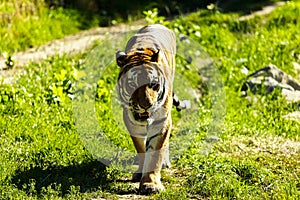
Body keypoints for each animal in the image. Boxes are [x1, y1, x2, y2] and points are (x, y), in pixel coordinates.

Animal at [116, 23, 189, 194]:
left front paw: (151, 184)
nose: (146, 105)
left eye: (153, 84)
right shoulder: (130, 120)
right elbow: (141, 149)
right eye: (132, 84)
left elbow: (155, 154)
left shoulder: (161, 120)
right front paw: (140, 173)